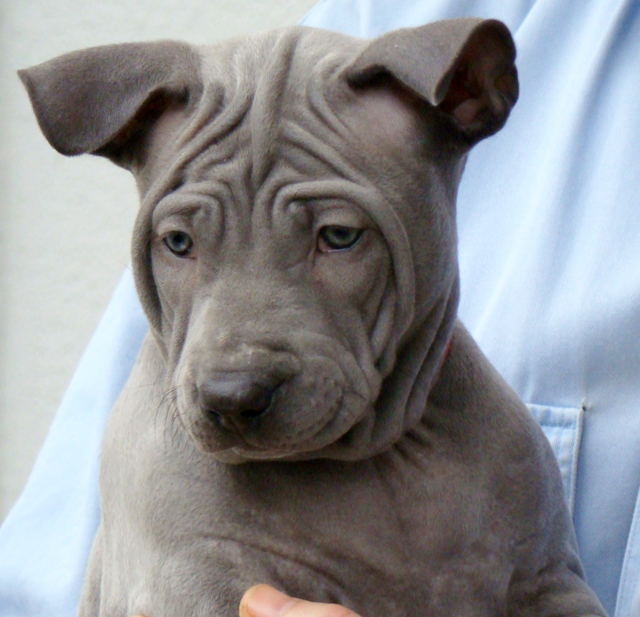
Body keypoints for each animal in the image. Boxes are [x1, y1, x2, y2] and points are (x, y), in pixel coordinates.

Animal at [20, 18, 607, 617]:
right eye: (178, 243)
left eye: (340, 236)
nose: (232, 397)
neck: (372, 460)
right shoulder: (190, 582)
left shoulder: (547, 578)